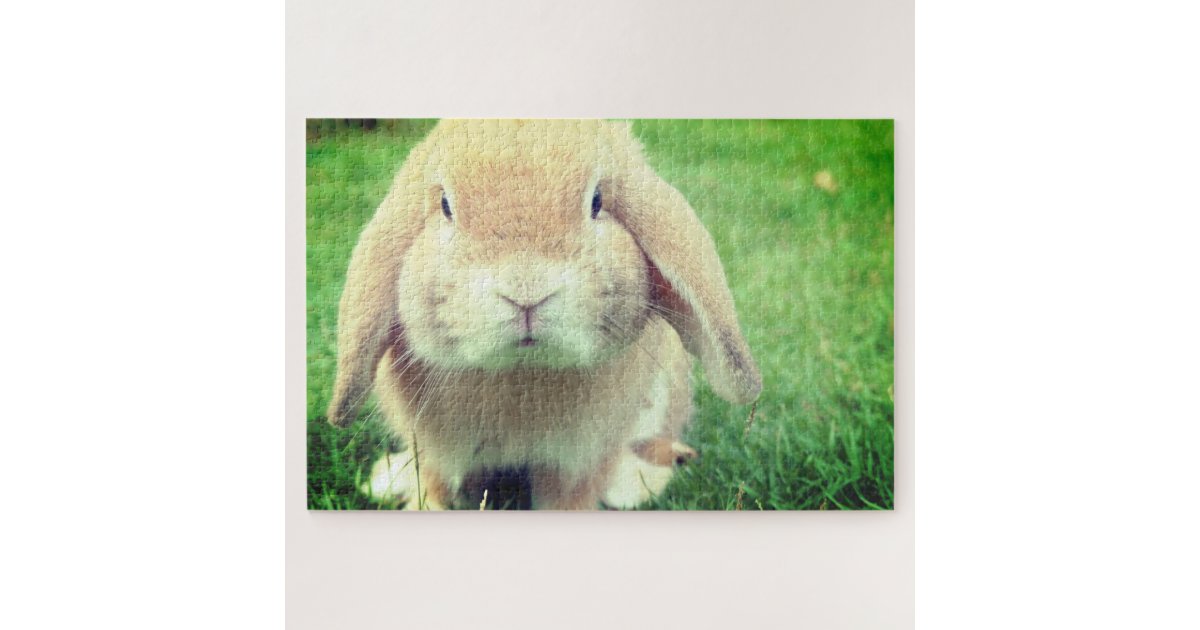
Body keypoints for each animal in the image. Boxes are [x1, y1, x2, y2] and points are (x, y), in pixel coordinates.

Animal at [327, 119, 761, 510]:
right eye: (446, 206)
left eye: (597, 202)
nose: (526, 292)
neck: (522, 372)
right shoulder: (434, 447)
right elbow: (436, 485)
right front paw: (423, 508)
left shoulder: (580, 458)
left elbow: (571, 495)